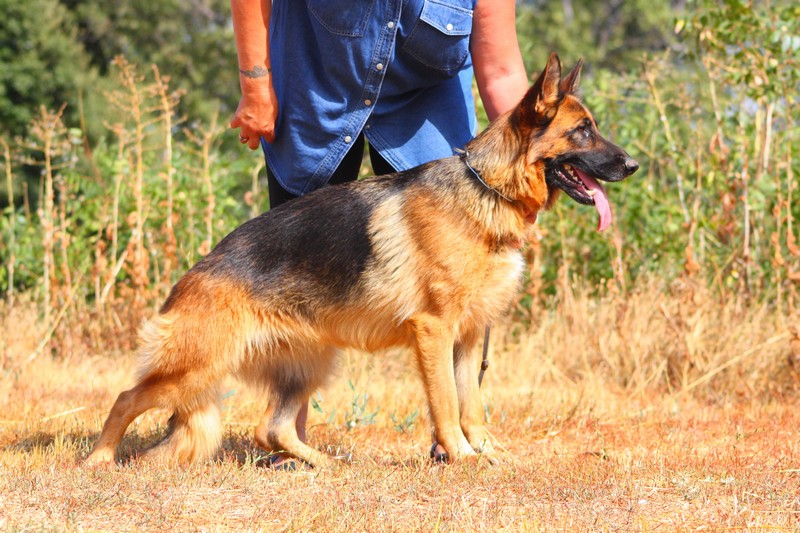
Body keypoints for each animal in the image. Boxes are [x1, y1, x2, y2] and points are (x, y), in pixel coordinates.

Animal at [86, 54, 636, 468]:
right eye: (583, 131)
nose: (633, 165)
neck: (487, 191)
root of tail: (193, 274)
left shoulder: (468, 336)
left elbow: (473, 405)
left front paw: (485, 451)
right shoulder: (435, 332)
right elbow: (446, 403)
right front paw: (462, 457)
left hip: (310, 363)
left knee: (272, 428)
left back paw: (325, 464)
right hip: (197, 368)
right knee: (124, 399)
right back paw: (97, 460)